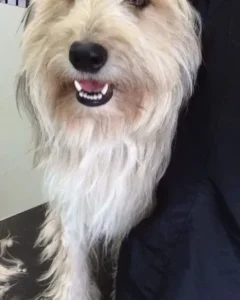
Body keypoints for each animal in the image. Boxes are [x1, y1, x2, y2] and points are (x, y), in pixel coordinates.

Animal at [15, 1, 202, 298]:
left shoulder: (132, 214)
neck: (102, 128)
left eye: (139, 3)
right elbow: (73, 267)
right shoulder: (72, 197)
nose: (84, 55)